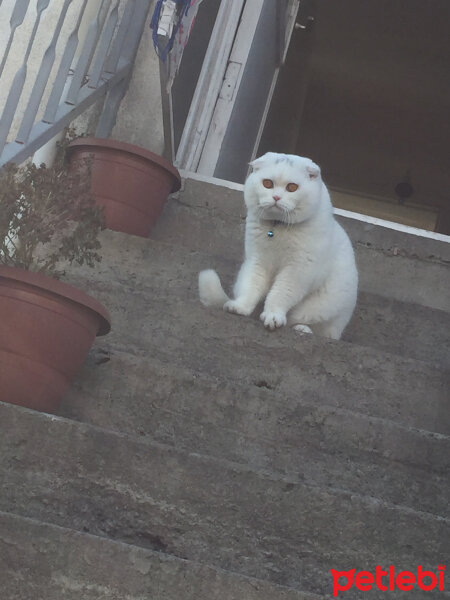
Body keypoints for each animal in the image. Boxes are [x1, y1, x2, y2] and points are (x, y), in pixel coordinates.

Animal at [199, 152, 356, 340]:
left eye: (292, 187)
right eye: (267, 183)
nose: (276, 197)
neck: (277, 228)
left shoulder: (297, 271)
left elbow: (280, 295)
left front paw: (272, 317)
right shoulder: (258, 261)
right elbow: (251, 287)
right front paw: (240, 307)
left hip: (323, 307)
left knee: (316, 328)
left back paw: (302, 329)